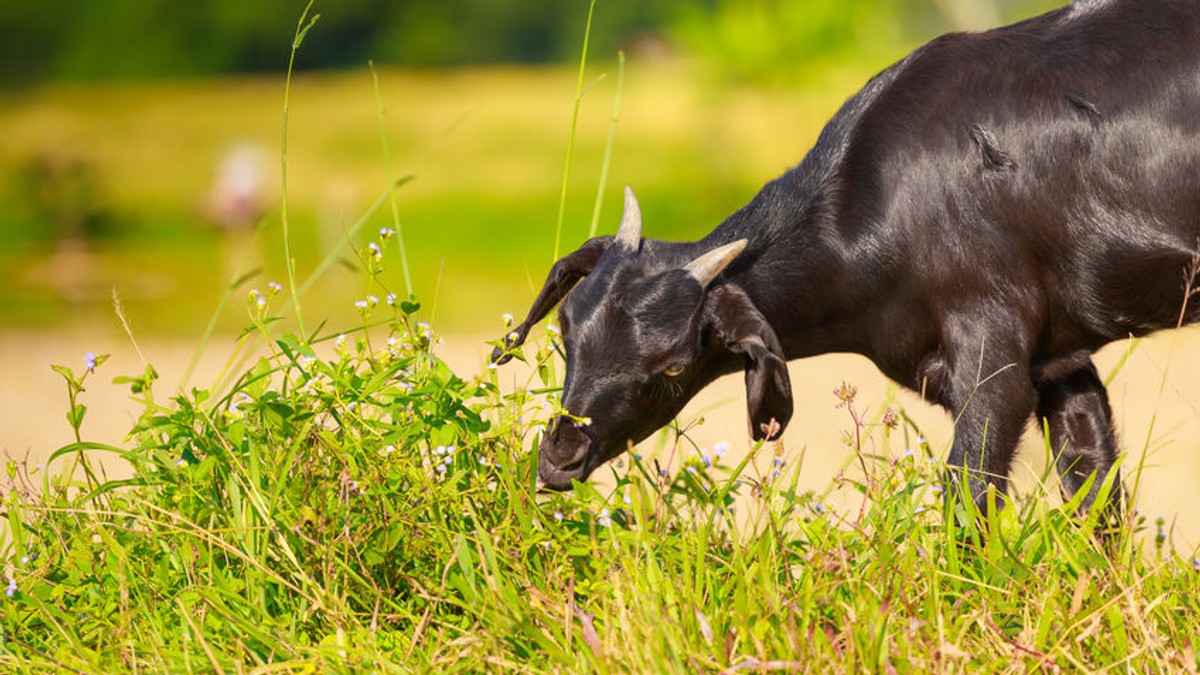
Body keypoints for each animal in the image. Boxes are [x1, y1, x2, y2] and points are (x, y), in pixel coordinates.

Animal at [492, 0, 1200, 518]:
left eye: (671, 367)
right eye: (566, 334)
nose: (558, 457)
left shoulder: (993, 348)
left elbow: (969, 493)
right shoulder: (1062, 360)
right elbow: (1094, 488)